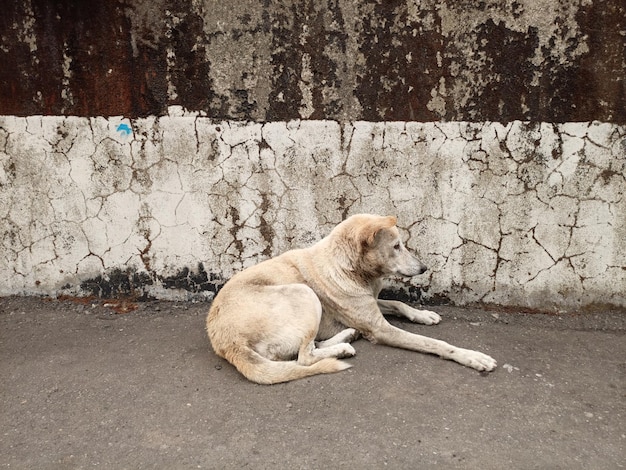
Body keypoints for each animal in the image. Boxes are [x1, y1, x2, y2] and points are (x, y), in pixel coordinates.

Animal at [207, 215, 494, 384]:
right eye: (397, 246)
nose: (424, 268)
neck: (350, 268)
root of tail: (225, 340)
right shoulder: (380, 329)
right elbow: (437, 343)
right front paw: (472, 357)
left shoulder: (371, 304)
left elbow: (398, 303)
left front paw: (423, 314)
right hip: (304, 293)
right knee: (304, 357)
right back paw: (341, 347)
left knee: (306, 349)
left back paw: (346, 338)